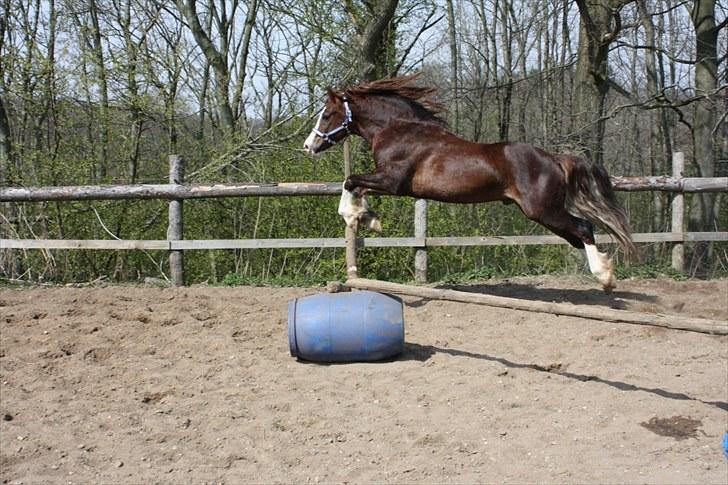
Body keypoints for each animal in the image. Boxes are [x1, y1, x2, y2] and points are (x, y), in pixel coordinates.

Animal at [302, 73, 636, 290]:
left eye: (327, 114)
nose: (308, 146)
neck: (400, 129)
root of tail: (554, 158)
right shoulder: (391, 182)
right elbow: (356, 185)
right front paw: (369, 217)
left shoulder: (393, 180)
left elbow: (350, 181)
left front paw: (355, 216)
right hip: (545, 214)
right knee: (578, 234)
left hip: (543, 210)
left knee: (584, 228)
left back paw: (605, 277)